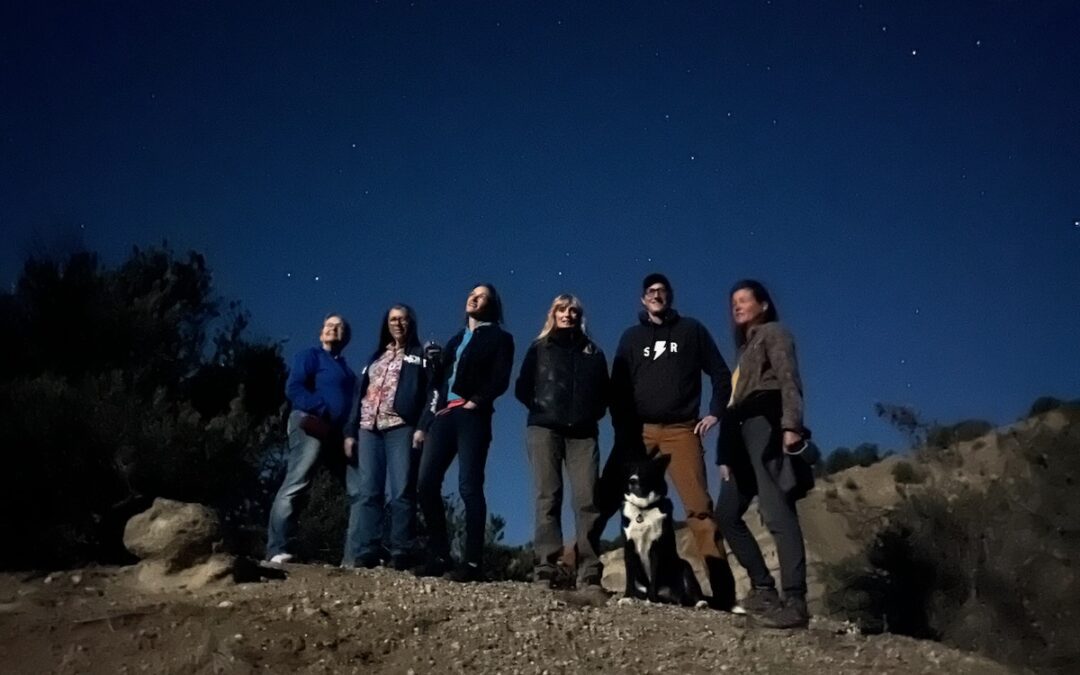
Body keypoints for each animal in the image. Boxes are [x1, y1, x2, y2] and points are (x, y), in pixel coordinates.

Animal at [617, 447, 708, 604]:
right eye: (630, 471)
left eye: (645, 470)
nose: (632, 481)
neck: (644, 509)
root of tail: (674, 596)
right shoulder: (629, 547)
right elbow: (629, 578)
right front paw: (627, 597)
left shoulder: (656, 547)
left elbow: (654, 577)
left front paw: (652, 599)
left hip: (685, 566)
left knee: (692, 589)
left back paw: (700, 602)